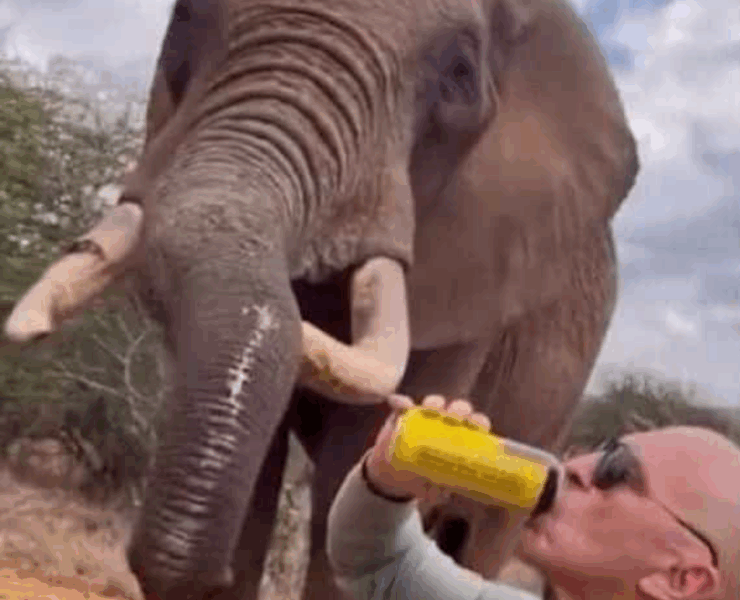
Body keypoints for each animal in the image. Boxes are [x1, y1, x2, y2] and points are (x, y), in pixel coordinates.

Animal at [3, 0, 639, 598]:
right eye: (185, 16)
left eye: (459, 72)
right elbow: (261, 466)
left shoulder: (476, 273)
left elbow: (347, 472)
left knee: (479, 533)